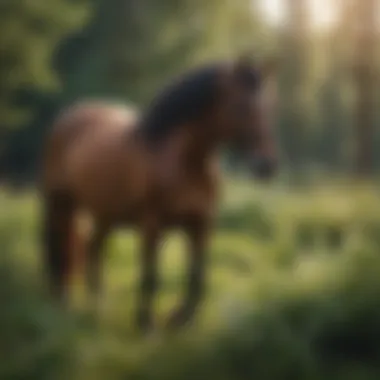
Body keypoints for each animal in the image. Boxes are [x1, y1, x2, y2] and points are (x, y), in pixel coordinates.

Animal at [40, 57, 280, 332]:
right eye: (241, 106)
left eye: (268, 107)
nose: (267, 166)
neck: (184, 162)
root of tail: (66, 119)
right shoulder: (152, 225)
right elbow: (151, 276)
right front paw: (146, 324)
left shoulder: (201, 225)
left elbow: (197, 278)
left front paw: (179, 320)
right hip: (60, 203)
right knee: (61, 248)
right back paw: (63, 300)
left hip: (105, 213)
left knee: (93, 247)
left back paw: (98, 303)